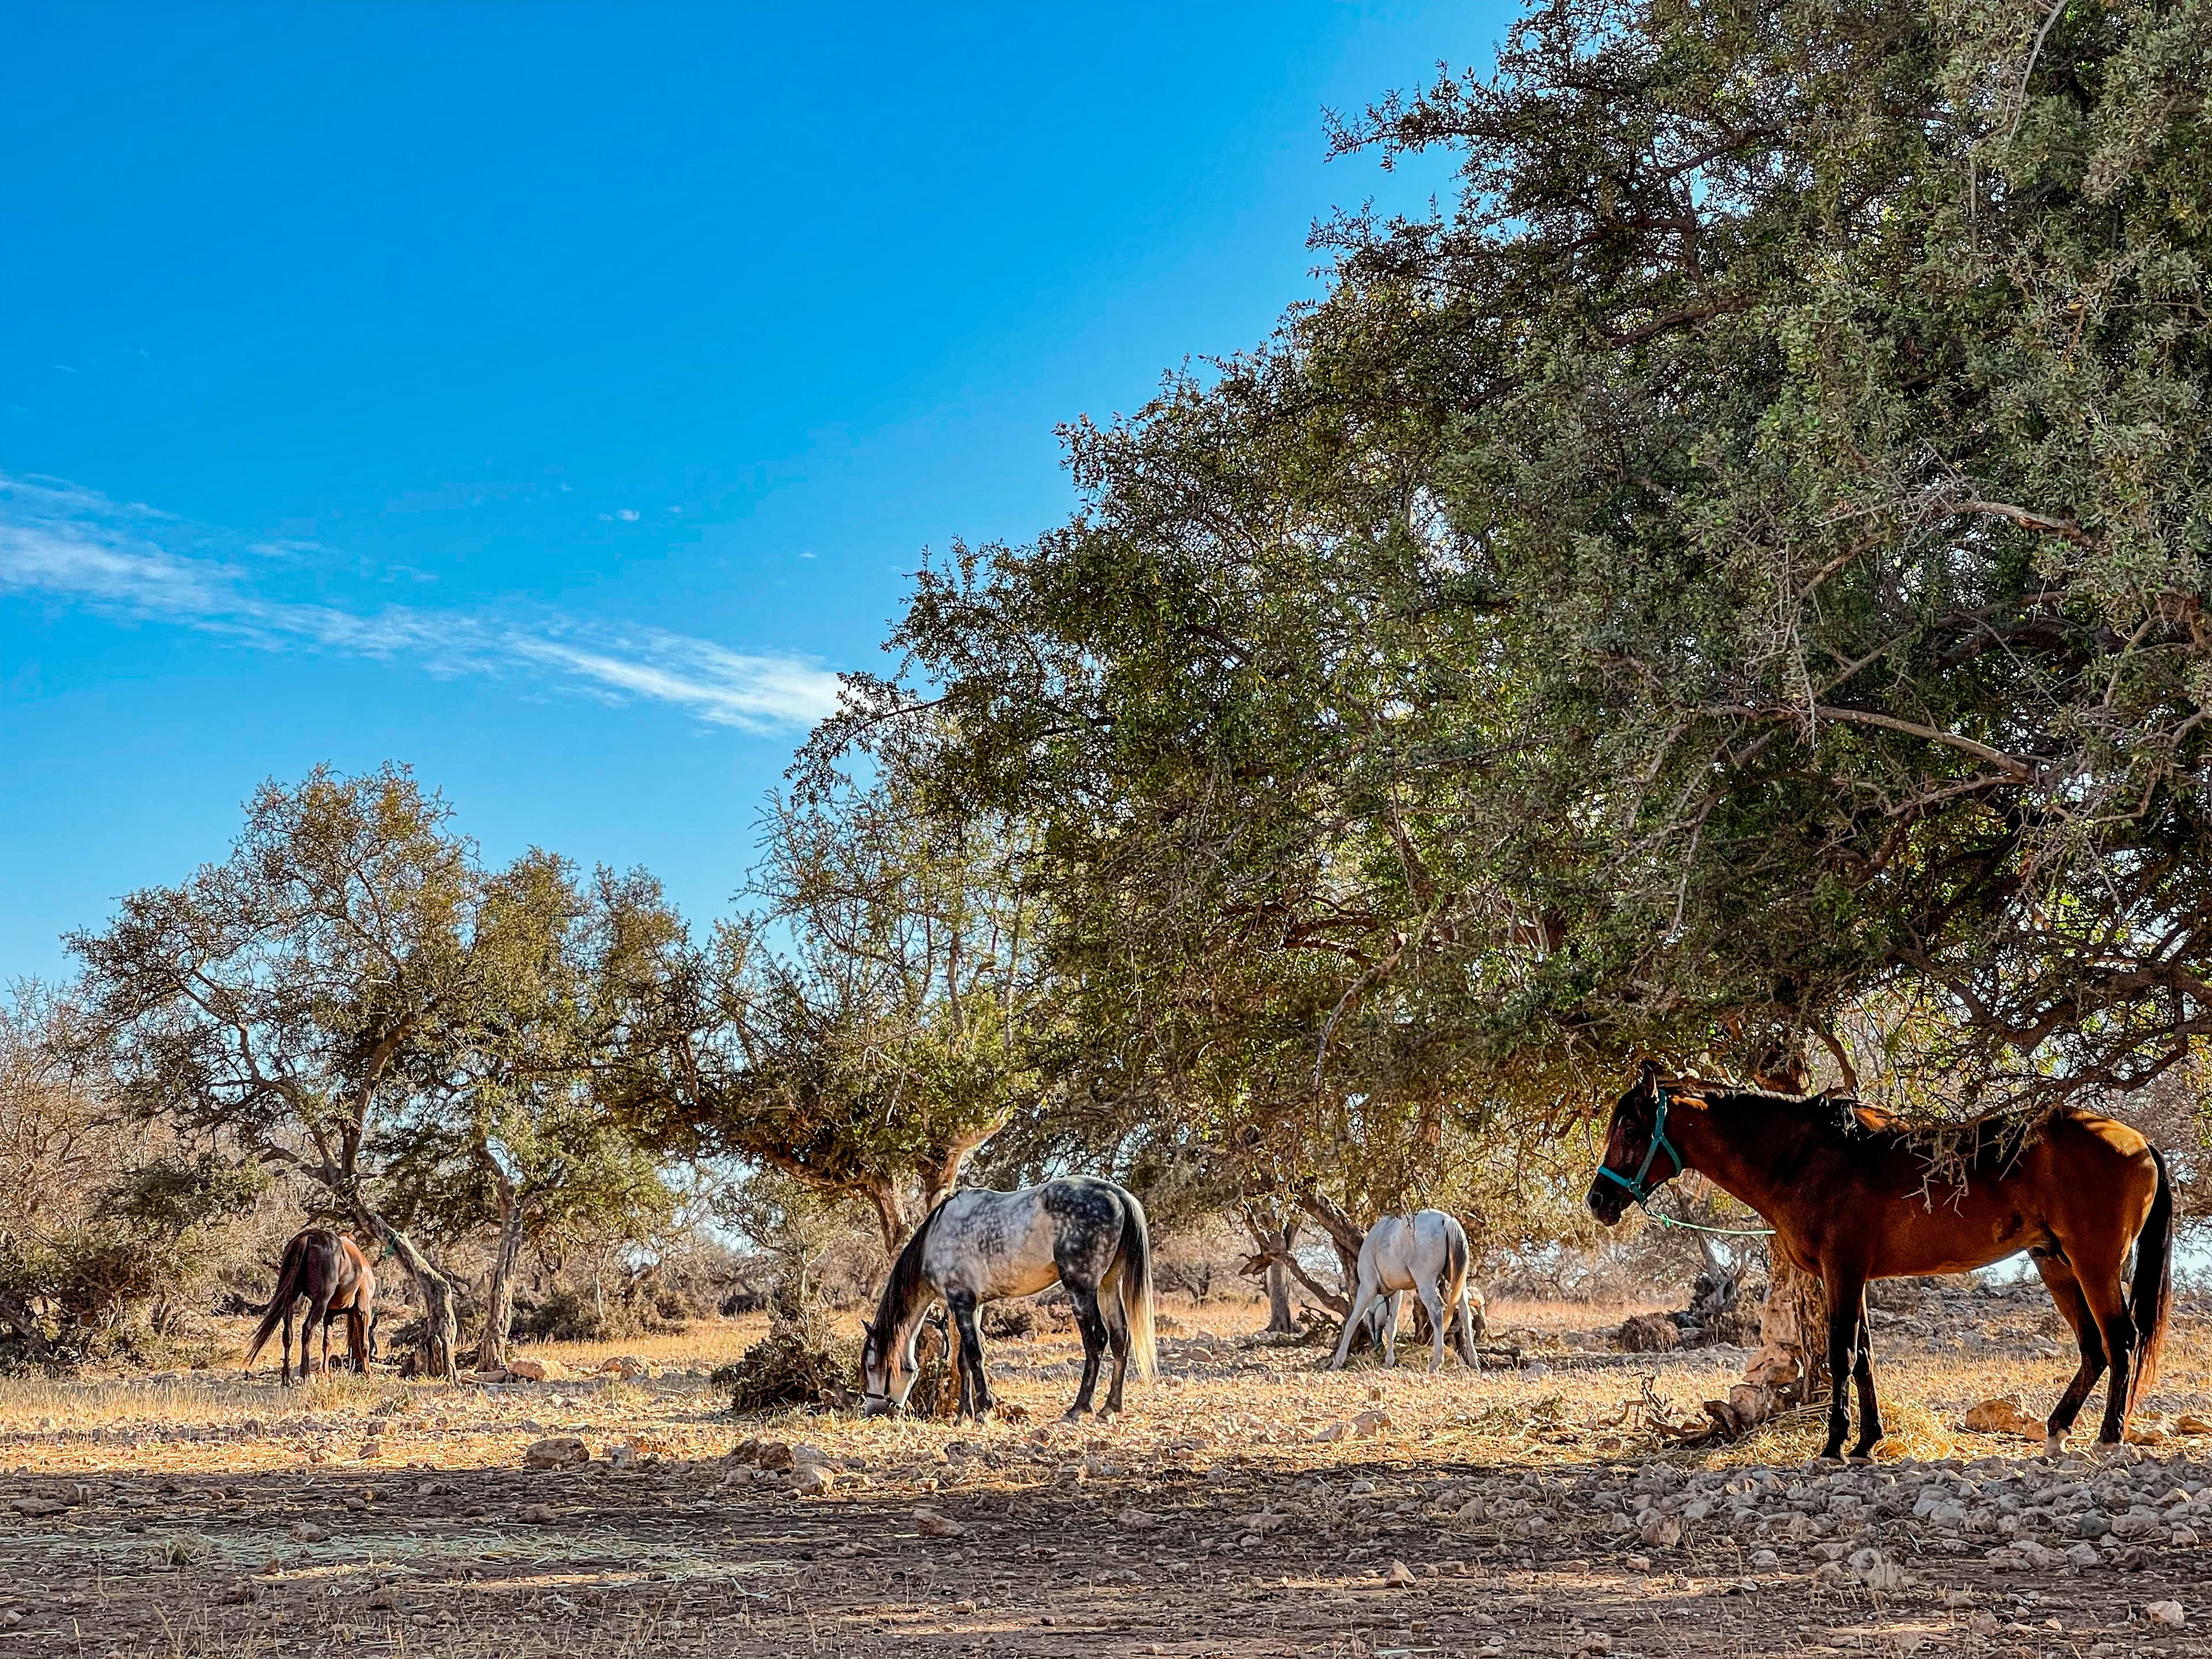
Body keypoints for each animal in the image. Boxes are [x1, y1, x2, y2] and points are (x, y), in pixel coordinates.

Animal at [242, 1228, 379, 1385]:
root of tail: (308, 1237)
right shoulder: (363, 1310)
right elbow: (364, 1343)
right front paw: (368, 1374)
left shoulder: (329, 1315)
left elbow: (327, 1343)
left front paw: (326, 1374)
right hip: (320, 1303)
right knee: (307, 1330)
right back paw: (305, 1374)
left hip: (291, 1300)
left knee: (287, 1335)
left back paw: (287, 1378)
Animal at [860, 1176, 1156, 1421]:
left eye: (873, 1366)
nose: (874, 1412)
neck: (934, 1239)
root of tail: (1115, 1193)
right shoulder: (973, 1305)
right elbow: (964, 1361)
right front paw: (964, 1414)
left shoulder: (961, 1302)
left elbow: (974, 1355)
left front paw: (984, 1410)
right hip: (1109, 1285)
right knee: (1120, 1338)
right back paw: (1110, 1408)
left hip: (1081, 1288)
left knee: (1096, 1340)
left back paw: (1079, 1409)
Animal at [1327, 1209, 1483, 1371]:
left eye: (1371, 1316)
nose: (1376, 1343)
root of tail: (1447, 1221)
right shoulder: (1397, 1293)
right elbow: (1392, 1326)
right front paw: (1389, 1361)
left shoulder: (1367, 1289)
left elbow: (1352, 1322)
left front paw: (1337, 1361)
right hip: (1456, 1281)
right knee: (1465, 1313)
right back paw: (1474, 1363)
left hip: (1426, 1283)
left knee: (1437, 1313)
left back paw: (1436, 1362)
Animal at [1588, 1060, 2173, 1460]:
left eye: (1631, 1130)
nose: (1598, 1200)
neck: (1806, 1158)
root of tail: (2138, 1141)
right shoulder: (1853, 1275)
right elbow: (1865, 1355)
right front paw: (1867, 1441)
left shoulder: (1841, 1270)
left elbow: (1843, 1353)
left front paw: (1834, 1445)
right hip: (2054, 1262)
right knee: (2094, 1348)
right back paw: (2056, 1432)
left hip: (2092, 1264)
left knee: (2121, 1341)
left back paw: (2109, 1438)